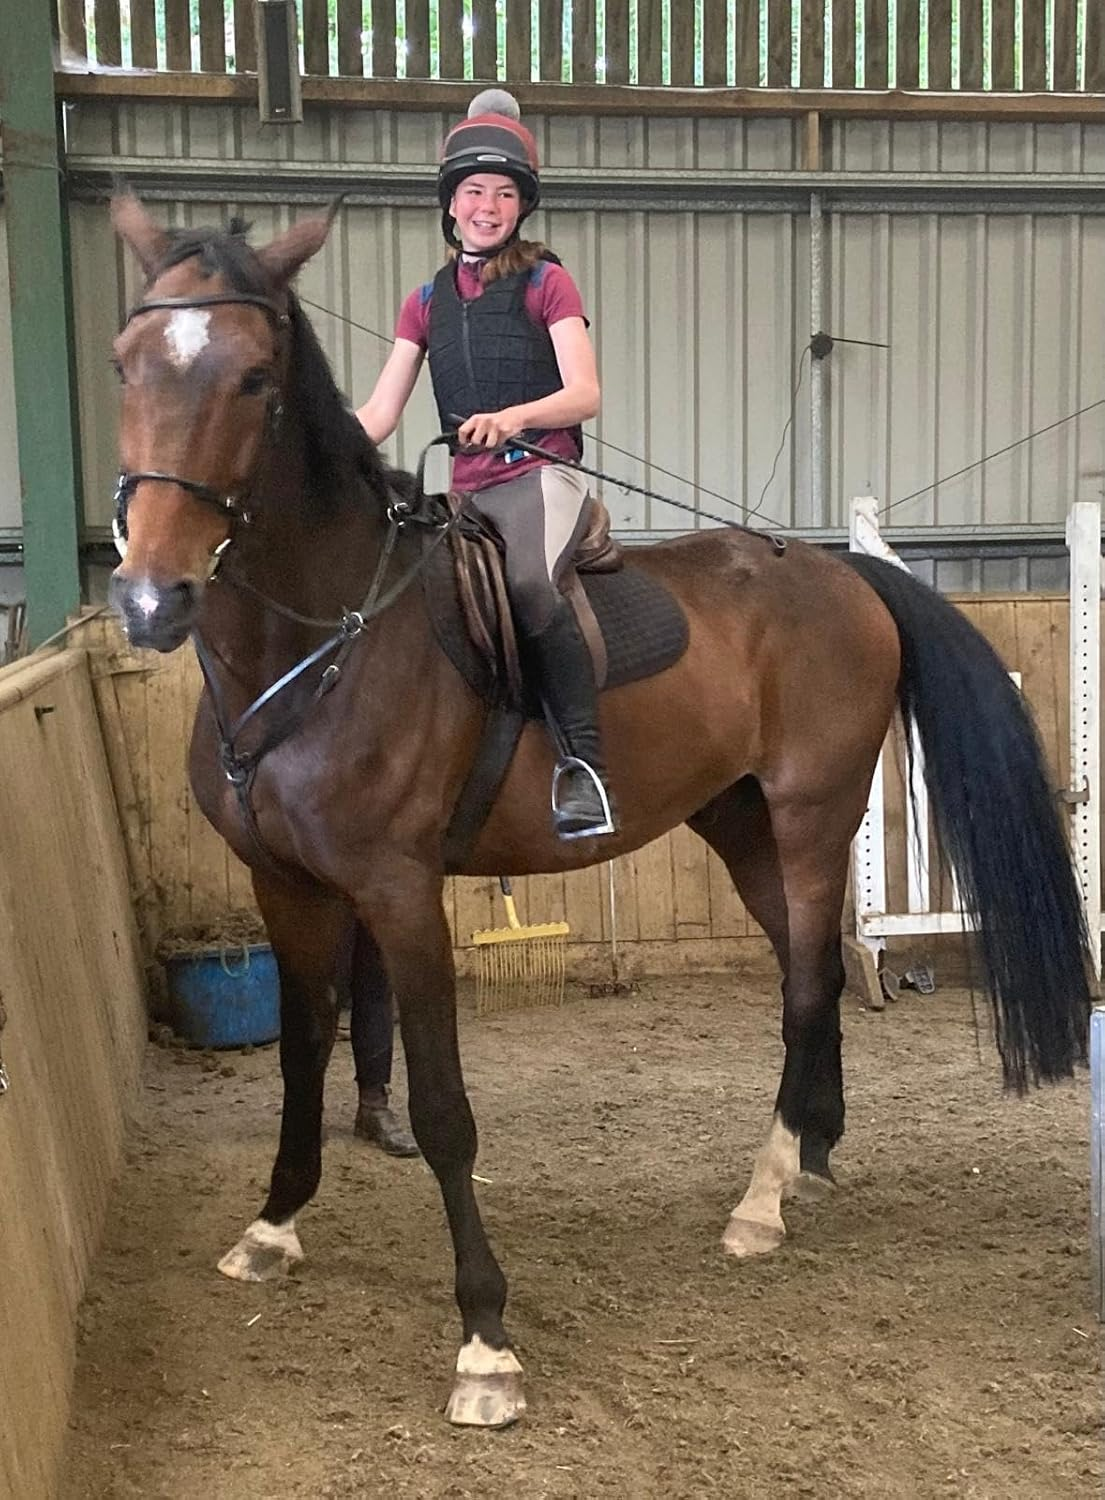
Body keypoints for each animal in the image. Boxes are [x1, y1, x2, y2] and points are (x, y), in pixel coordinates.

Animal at [106, 195, 1090, 1429]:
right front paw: (273, 1228)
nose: (151, 599)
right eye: (125, 363)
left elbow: (442, 1107)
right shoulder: (285, 886)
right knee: (806, 974)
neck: (319, 647)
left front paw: (485, 1343)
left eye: (251, 378)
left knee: (807, 982)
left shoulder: (399, 895)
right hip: (741, 824)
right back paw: (807, 1159)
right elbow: (297, 1058)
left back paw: (760, 1203)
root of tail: (840, 574)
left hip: (813, 817)